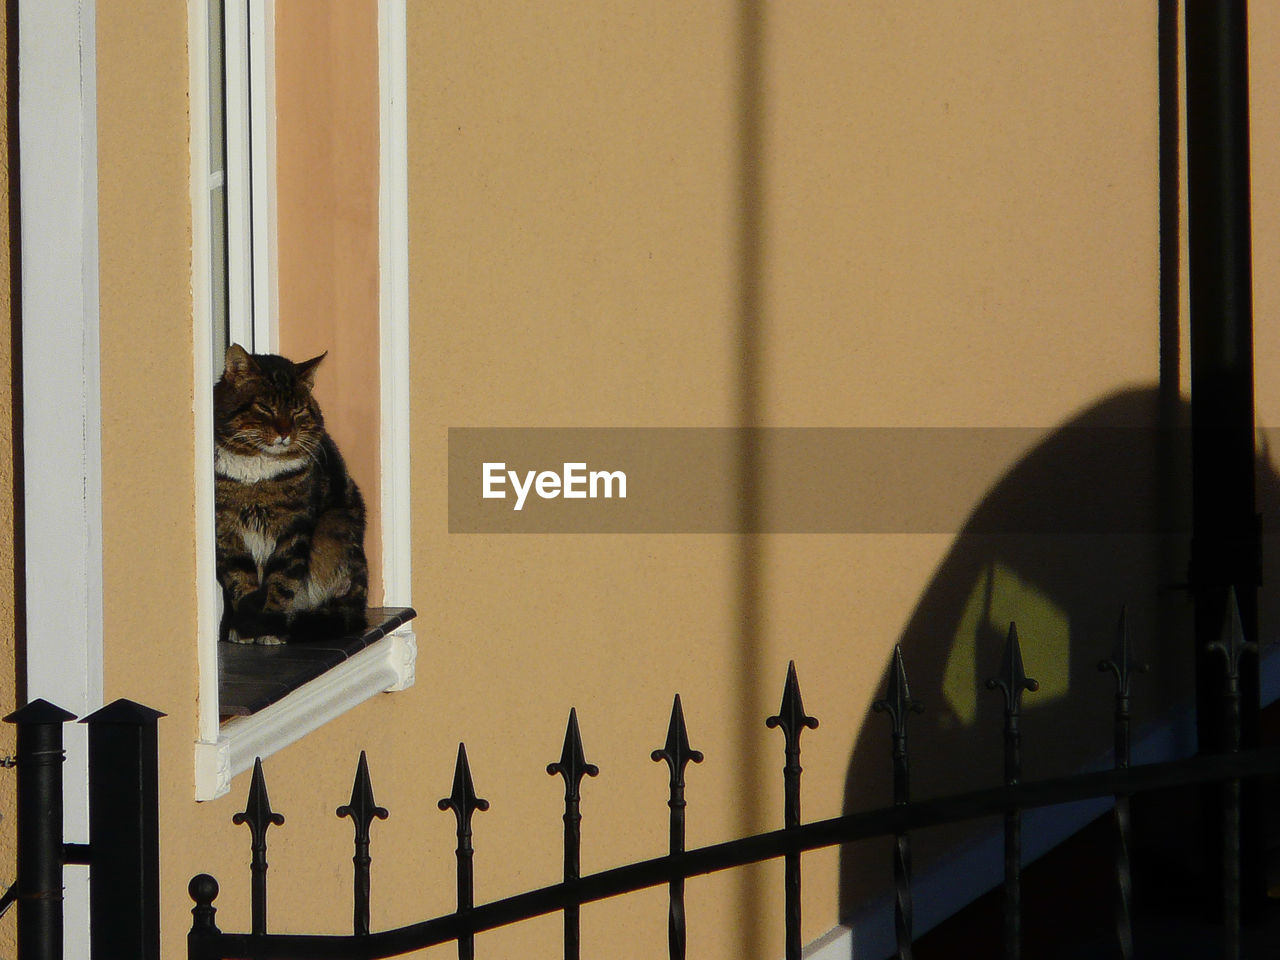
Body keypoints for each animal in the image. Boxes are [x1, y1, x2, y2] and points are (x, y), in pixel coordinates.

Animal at [215, 345, 371, 647]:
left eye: (297, 410)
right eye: (265, 407)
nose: (285, 433)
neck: (257, 471)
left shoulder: (294, 526)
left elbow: (282, 579)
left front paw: (270, 628)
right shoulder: (226, 528)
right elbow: (240, 579)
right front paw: (245, 628)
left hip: (334, 529)